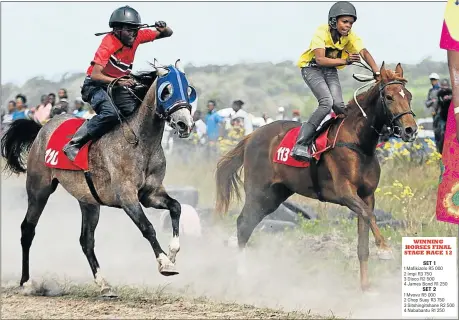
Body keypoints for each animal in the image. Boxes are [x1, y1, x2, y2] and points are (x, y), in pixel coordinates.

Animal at [215, 62, 416, 290]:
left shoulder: (367, 196)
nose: (410, 129)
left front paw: (365, 286)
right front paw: (385, 249)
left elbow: (363, 238)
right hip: (258, 192)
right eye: (389, 97)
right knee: (243, 224)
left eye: (408, 95)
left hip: (274, 196)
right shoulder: (346, 193)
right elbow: (370, 216)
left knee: (248, 224)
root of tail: (251, 136)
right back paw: (242, 274)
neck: (358, 143)